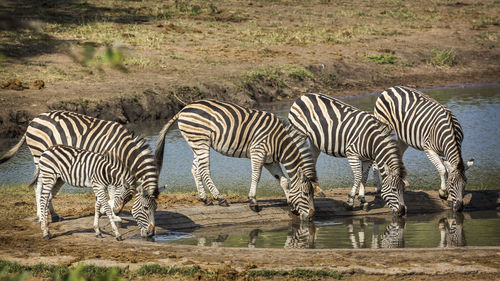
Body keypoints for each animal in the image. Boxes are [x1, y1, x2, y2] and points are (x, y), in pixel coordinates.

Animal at [0, 110, 158, 220]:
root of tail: (33, 120)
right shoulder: (109, 166)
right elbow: (112, 190)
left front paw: (104, 210)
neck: (122, 149)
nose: (118, 211)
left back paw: (53, 214)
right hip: (40, 157)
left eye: (131, 198)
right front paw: (111, 213)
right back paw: (41, 214)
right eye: (145, 208)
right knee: (39, 185)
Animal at [155, 99, 316, 220]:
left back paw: (205, 199)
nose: (311, 215)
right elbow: (256, 176)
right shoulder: (258, 151)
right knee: (205, 170)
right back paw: (220, 198)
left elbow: (284, 181)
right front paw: (253, 202)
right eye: (306, 194)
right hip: (200, 142)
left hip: (197, 143)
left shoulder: (270, 161)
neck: (280, 142)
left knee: (195, 169)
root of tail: (184, 109)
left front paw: (291, 203)